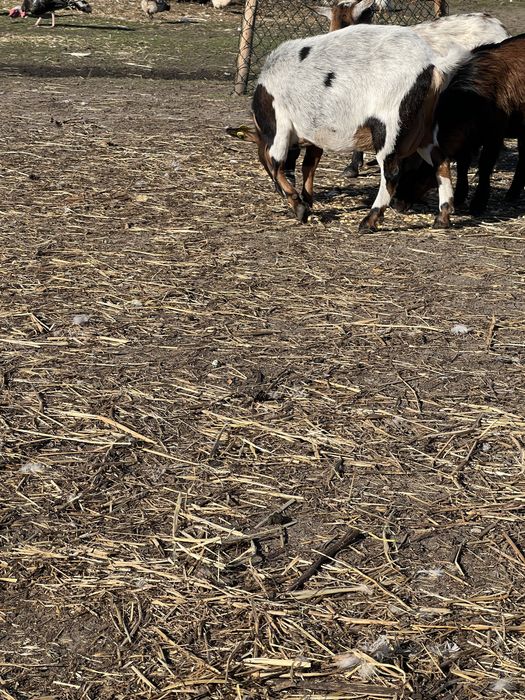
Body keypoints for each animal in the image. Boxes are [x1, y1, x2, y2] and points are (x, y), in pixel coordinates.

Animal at [240, 24, 466, 231]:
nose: (277, 192)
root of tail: (432, 65)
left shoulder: (278, 128)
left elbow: (276, 164)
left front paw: (300, 208)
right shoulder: (315, 136)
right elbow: (309, 166)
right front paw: (307, 202)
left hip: (388, 127)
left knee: (391, 173)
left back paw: (369, 221)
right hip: (423, 131)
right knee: (441, 162)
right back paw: (442, 218)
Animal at [395, 34, 525, 227]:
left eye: (414, 173)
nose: (396, 203)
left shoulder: (494, 136)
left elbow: (485, 165)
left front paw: (478, 202)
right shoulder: (467, 139)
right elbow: (463, 165)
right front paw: (460, 195)